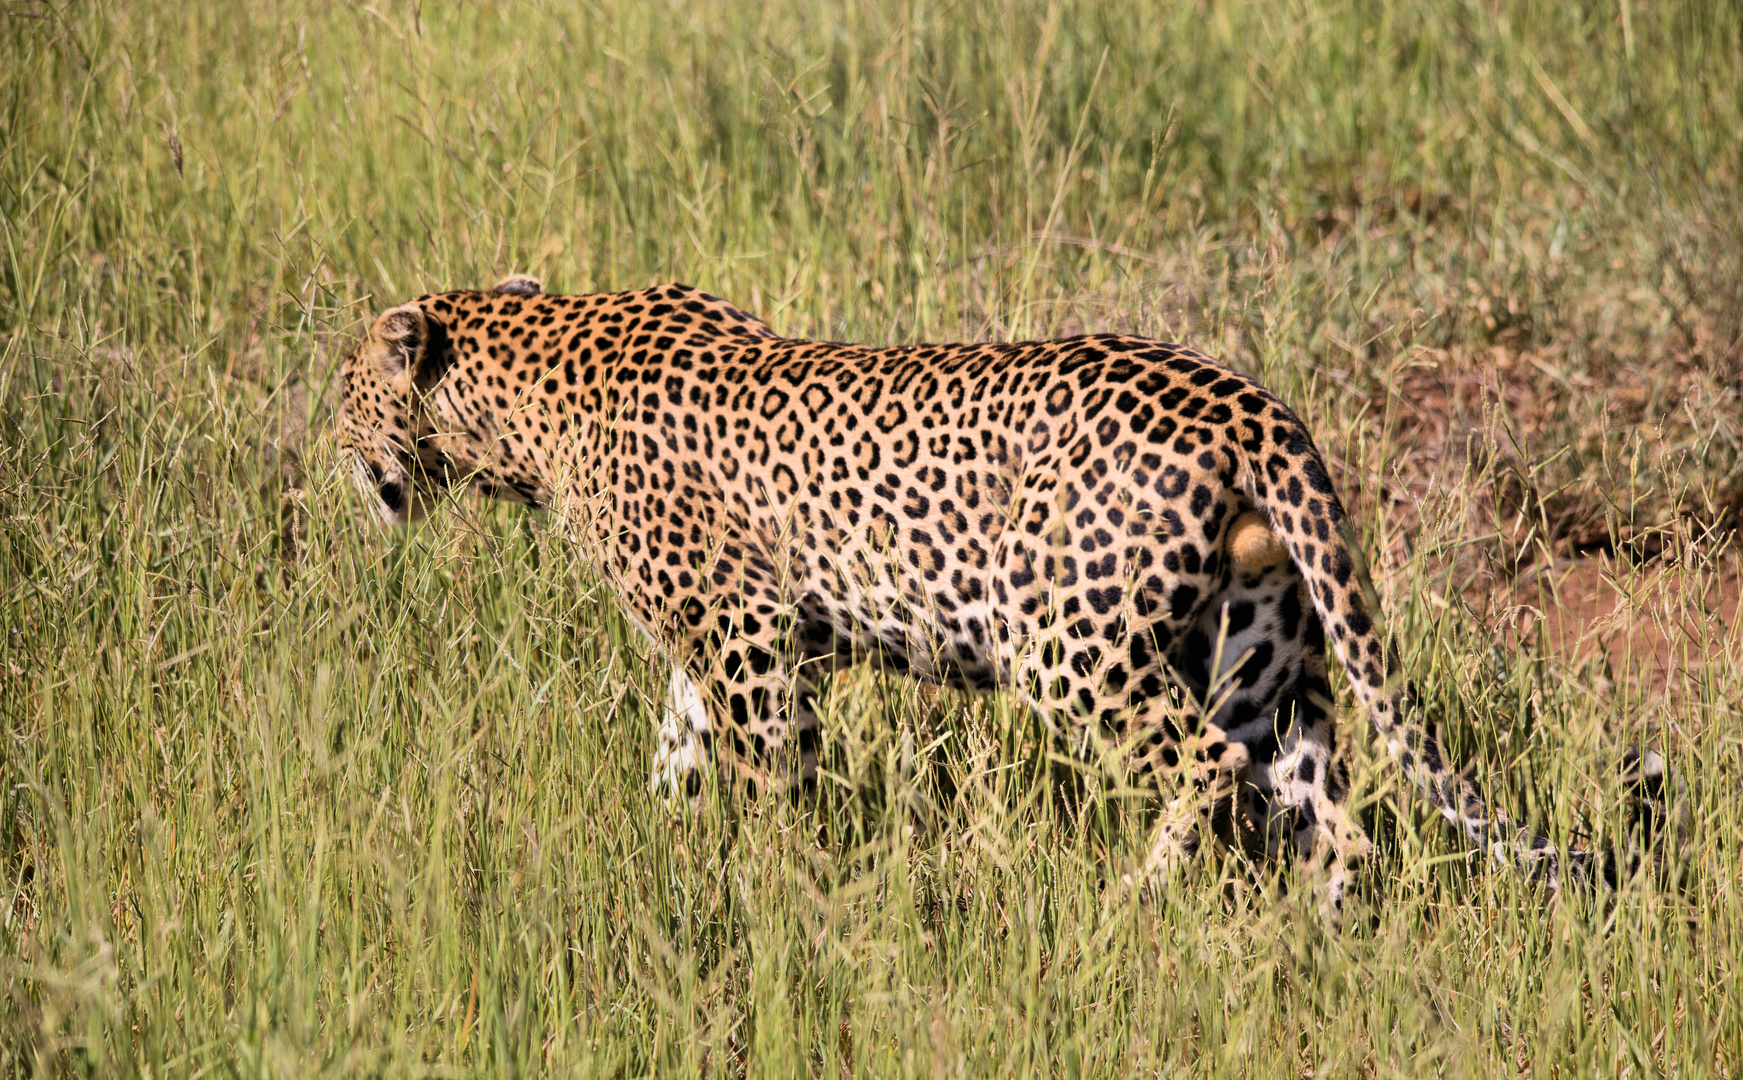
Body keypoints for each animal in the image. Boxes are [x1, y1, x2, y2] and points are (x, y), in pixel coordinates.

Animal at [339, 270, 1673, 912]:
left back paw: (1139, 900)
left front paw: (765, 878)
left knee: (1202, 762)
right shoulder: (722, 639)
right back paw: (1321, 939)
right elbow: (677, 752)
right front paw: (664, 844)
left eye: (346, 388)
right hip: (1265, 648)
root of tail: (1256, 405)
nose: (330, 452)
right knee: (1325, 804)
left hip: (1065, 642)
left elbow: (767, 772)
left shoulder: (748, 635)